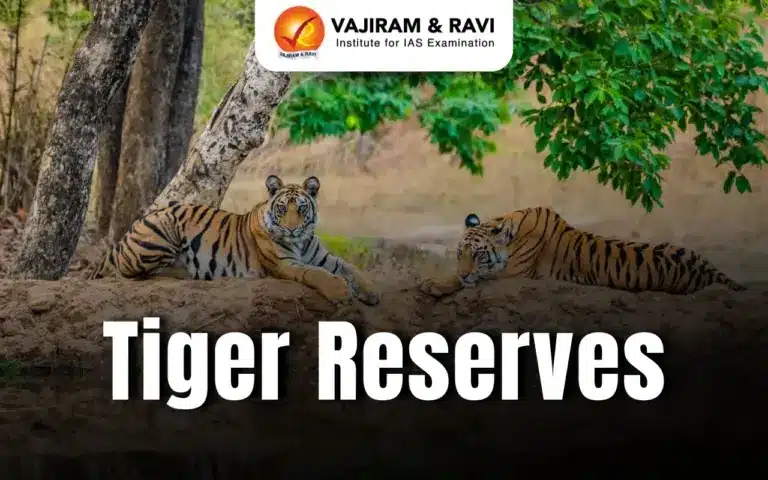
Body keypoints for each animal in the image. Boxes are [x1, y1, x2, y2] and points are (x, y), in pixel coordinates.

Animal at [88, 175, 381, 306]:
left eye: (301, 208)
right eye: (282, 209)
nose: (292, 229)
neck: (300, 242)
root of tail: (130, 229)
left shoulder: (324, 257)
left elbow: (350, 267)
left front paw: (371, 291)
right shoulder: (286, 265)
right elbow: (316, 274)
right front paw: (340, 291)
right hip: (164, 230)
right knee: (133, 273)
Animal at [420, 206, 747, 297]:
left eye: (478, 255)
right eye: (459, 253)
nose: (465, 272)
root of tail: (710, 270)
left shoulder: (513, 274)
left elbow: (471, 280)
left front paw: (433, 284)